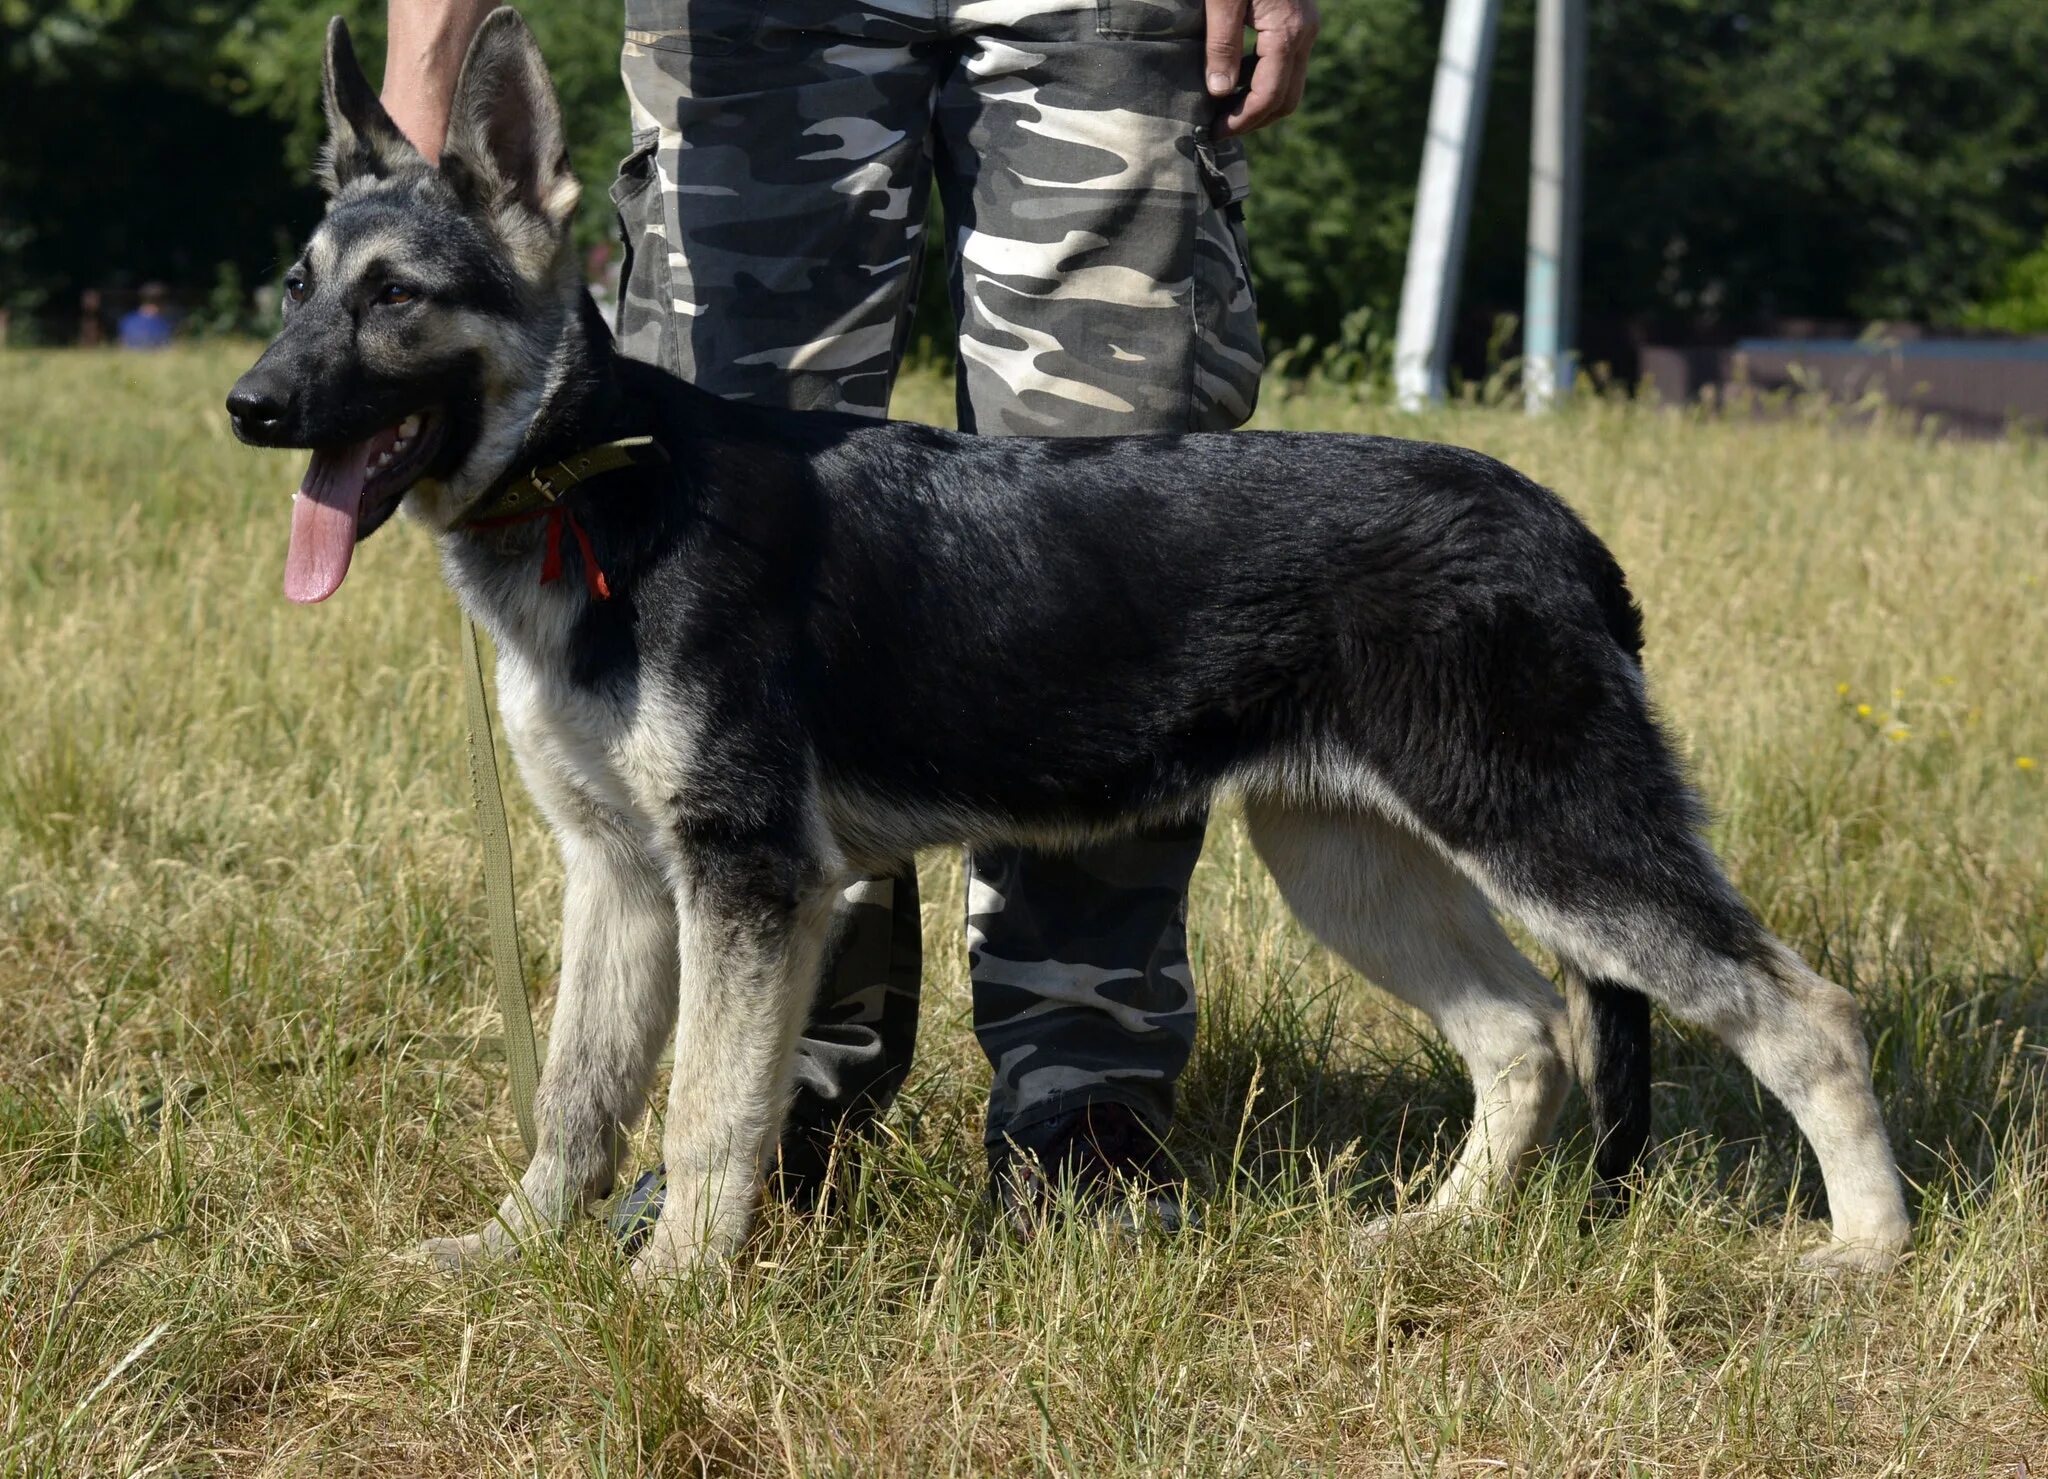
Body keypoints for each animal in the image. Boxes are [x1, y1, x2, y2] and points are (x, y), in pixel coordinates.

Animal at [232, 11, 1908, 1278]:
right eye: (297, 290)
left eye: (397, 300)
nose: (248, 406)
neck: (597, 478)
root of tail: (1561, 525)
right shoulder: (624, 880)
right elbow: (580, 1097)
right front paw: (514, 1254)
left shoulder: (745, 881)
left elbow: (709, 1105)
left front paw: (673, 1288)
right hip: (1351, 857)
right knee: (1526, 1034)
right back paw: (1437, 1231)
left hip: (1553, 837)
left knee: (1806, 1014)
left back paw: (1863, 1253)